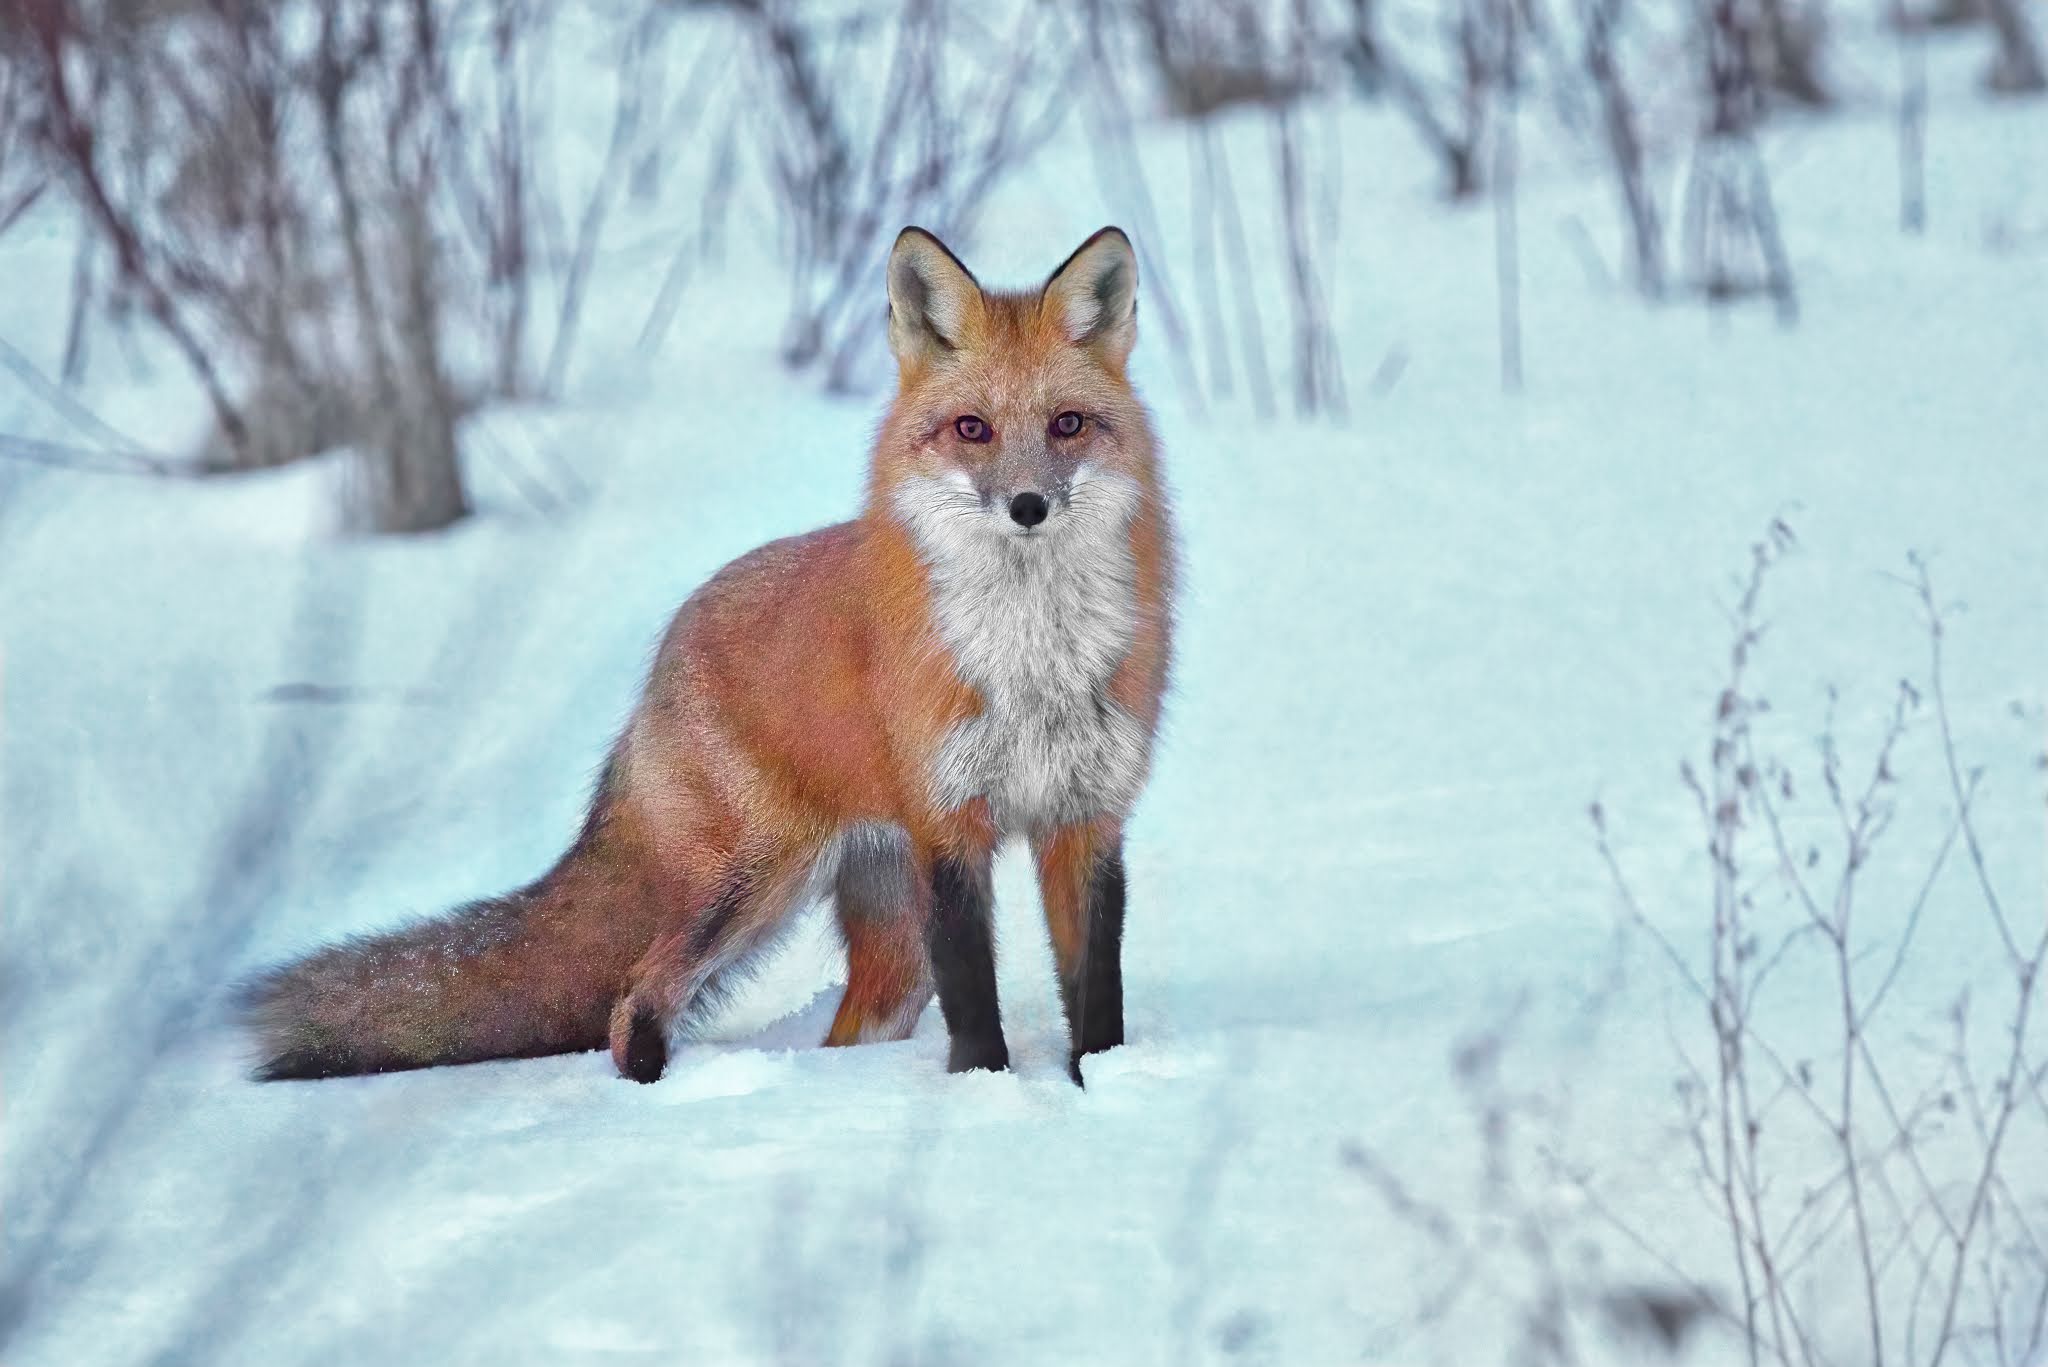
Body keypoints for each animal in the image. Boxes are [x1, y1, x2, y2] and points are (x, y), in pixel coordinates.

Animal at [242, 225, 1177, 1086]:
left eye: (1067, 424)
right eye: (972, 428)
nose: (1027, 506)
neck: (1031, 665)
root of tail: (667, 645)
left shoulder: (1087, 820)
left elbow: (1096, 996)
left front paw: (1104, 1086)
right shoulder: (951, 831)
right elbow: (977, 1013)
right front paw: (985, 1092)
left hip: (880, 930)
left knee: (845, 1026)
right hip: (756, 880)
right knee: (634, 995)